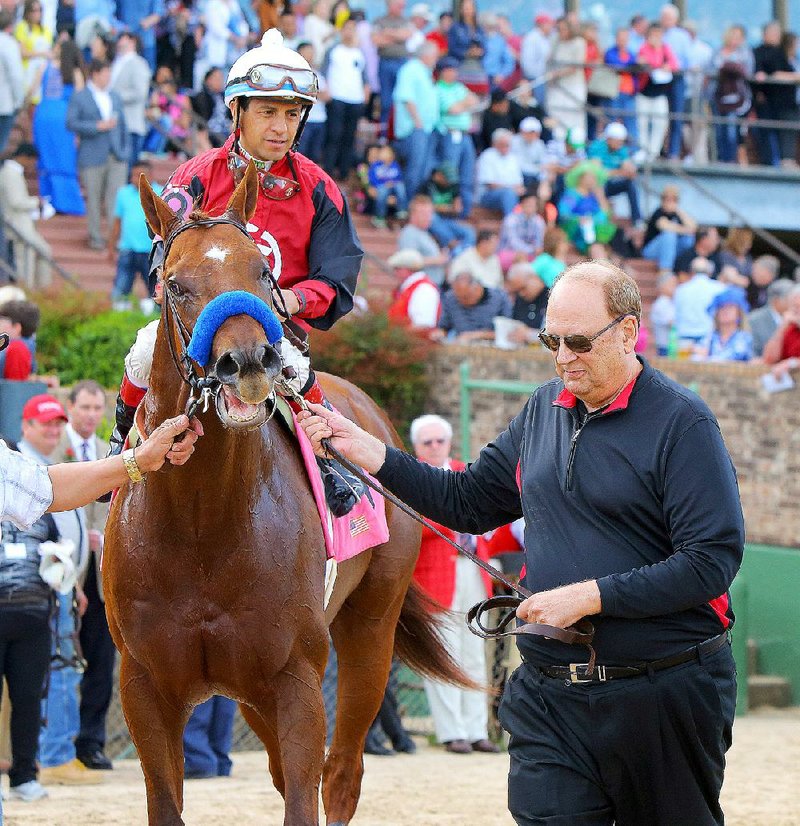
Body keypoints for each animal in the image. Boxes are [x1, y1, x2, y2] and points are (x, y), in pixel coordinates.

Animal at [102, 164, 466, 820]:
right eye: (175, 284)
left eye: (261, 271)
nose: (247, 362)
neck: (202, 523)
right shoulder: (145, 687)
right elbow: (169, 803)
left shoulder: (296, 681)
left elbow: (306, 794)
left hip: (369, 630)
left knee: (341, 774)